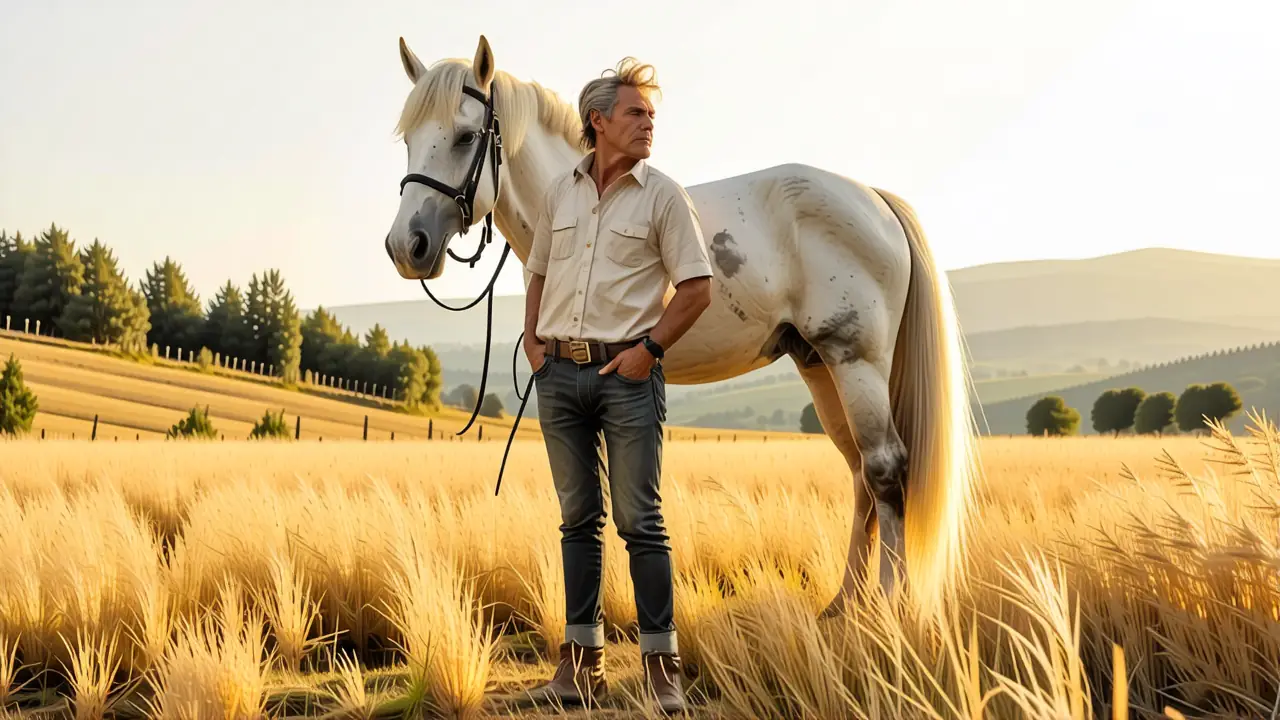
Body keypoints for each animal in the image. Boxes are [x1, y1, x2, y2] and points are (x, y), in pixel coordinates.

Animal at [382, 34, 981, 618]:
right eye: (409, 138)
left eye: (465, 136)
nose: (406, 246)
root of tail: (874, 199)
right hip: (821, 366)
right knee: (860, 473)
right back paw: (845, 605)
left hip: (857, 363)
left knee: (884, 470)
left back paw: (890, 610)